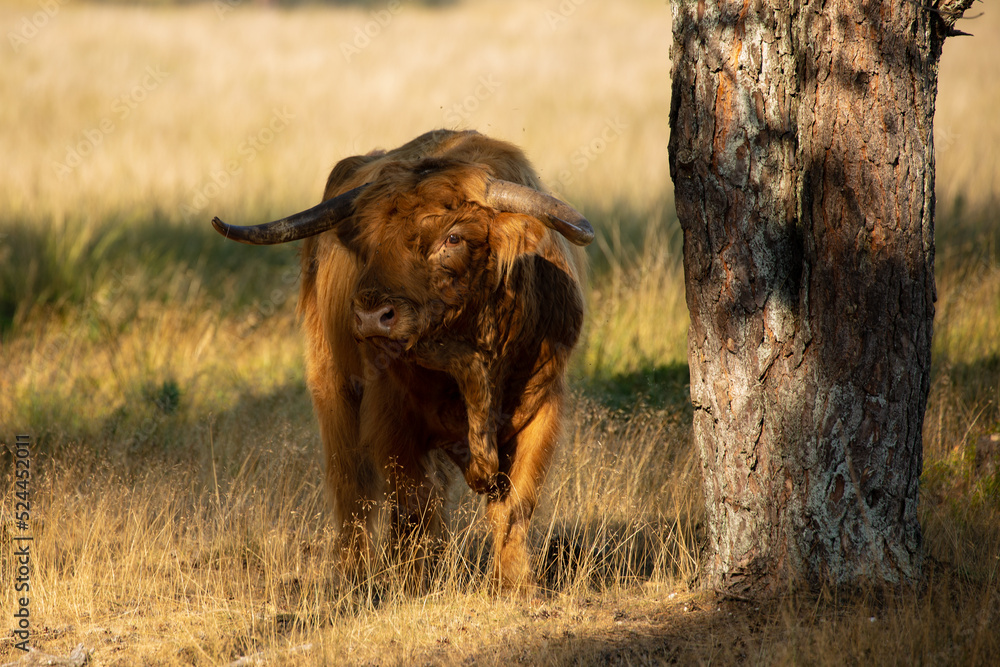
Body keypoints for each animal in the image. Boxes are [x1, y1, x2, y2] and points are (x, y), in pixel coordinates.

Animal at [211, 129, 592, 592]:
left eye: (453, 238)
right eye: (368, 240)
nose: (372, 315)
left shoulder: (543, 407)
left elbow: (517, 501)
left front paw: (513, 580)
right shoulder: (392, 416)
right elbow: (411, 503)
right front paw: (413, 580)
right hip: (331, 381)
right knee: (352, 484)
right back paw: (354, 572)